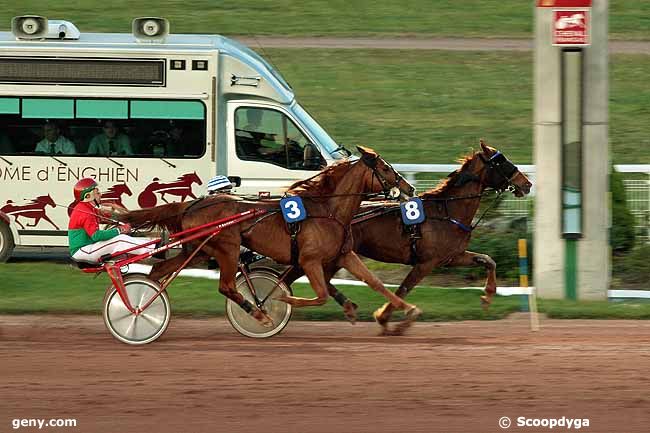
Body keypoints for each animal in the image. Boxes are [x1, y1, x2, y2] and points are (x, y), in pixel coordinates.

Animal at [118, 147, 418, 326]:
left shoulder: (344, 254)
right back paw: (258, 313)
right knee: (226, 286)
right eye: (386, 168)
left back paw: (142, 304)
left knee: (159, 270)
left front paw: (408, 309)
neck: (328, 210)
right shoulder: (309, 260)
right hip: (227, 247)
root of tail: (192, 204)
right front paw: (281, 301)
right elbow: (320, 294)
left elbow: (375, 282)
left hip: (199, 250)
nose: (409, 188)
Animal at [284, 140, 532, 332]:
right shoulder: (426, 262)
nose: (527, 183)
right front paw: (387, 318)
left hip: (335, 256)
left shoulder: (452, 257)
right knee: (295, 277)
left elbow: (489, 260)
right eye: (501, 162)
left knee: (320, 280)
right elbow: (404, 287)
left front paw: (487, 296)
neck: (446, 211)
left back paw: (346, 307)